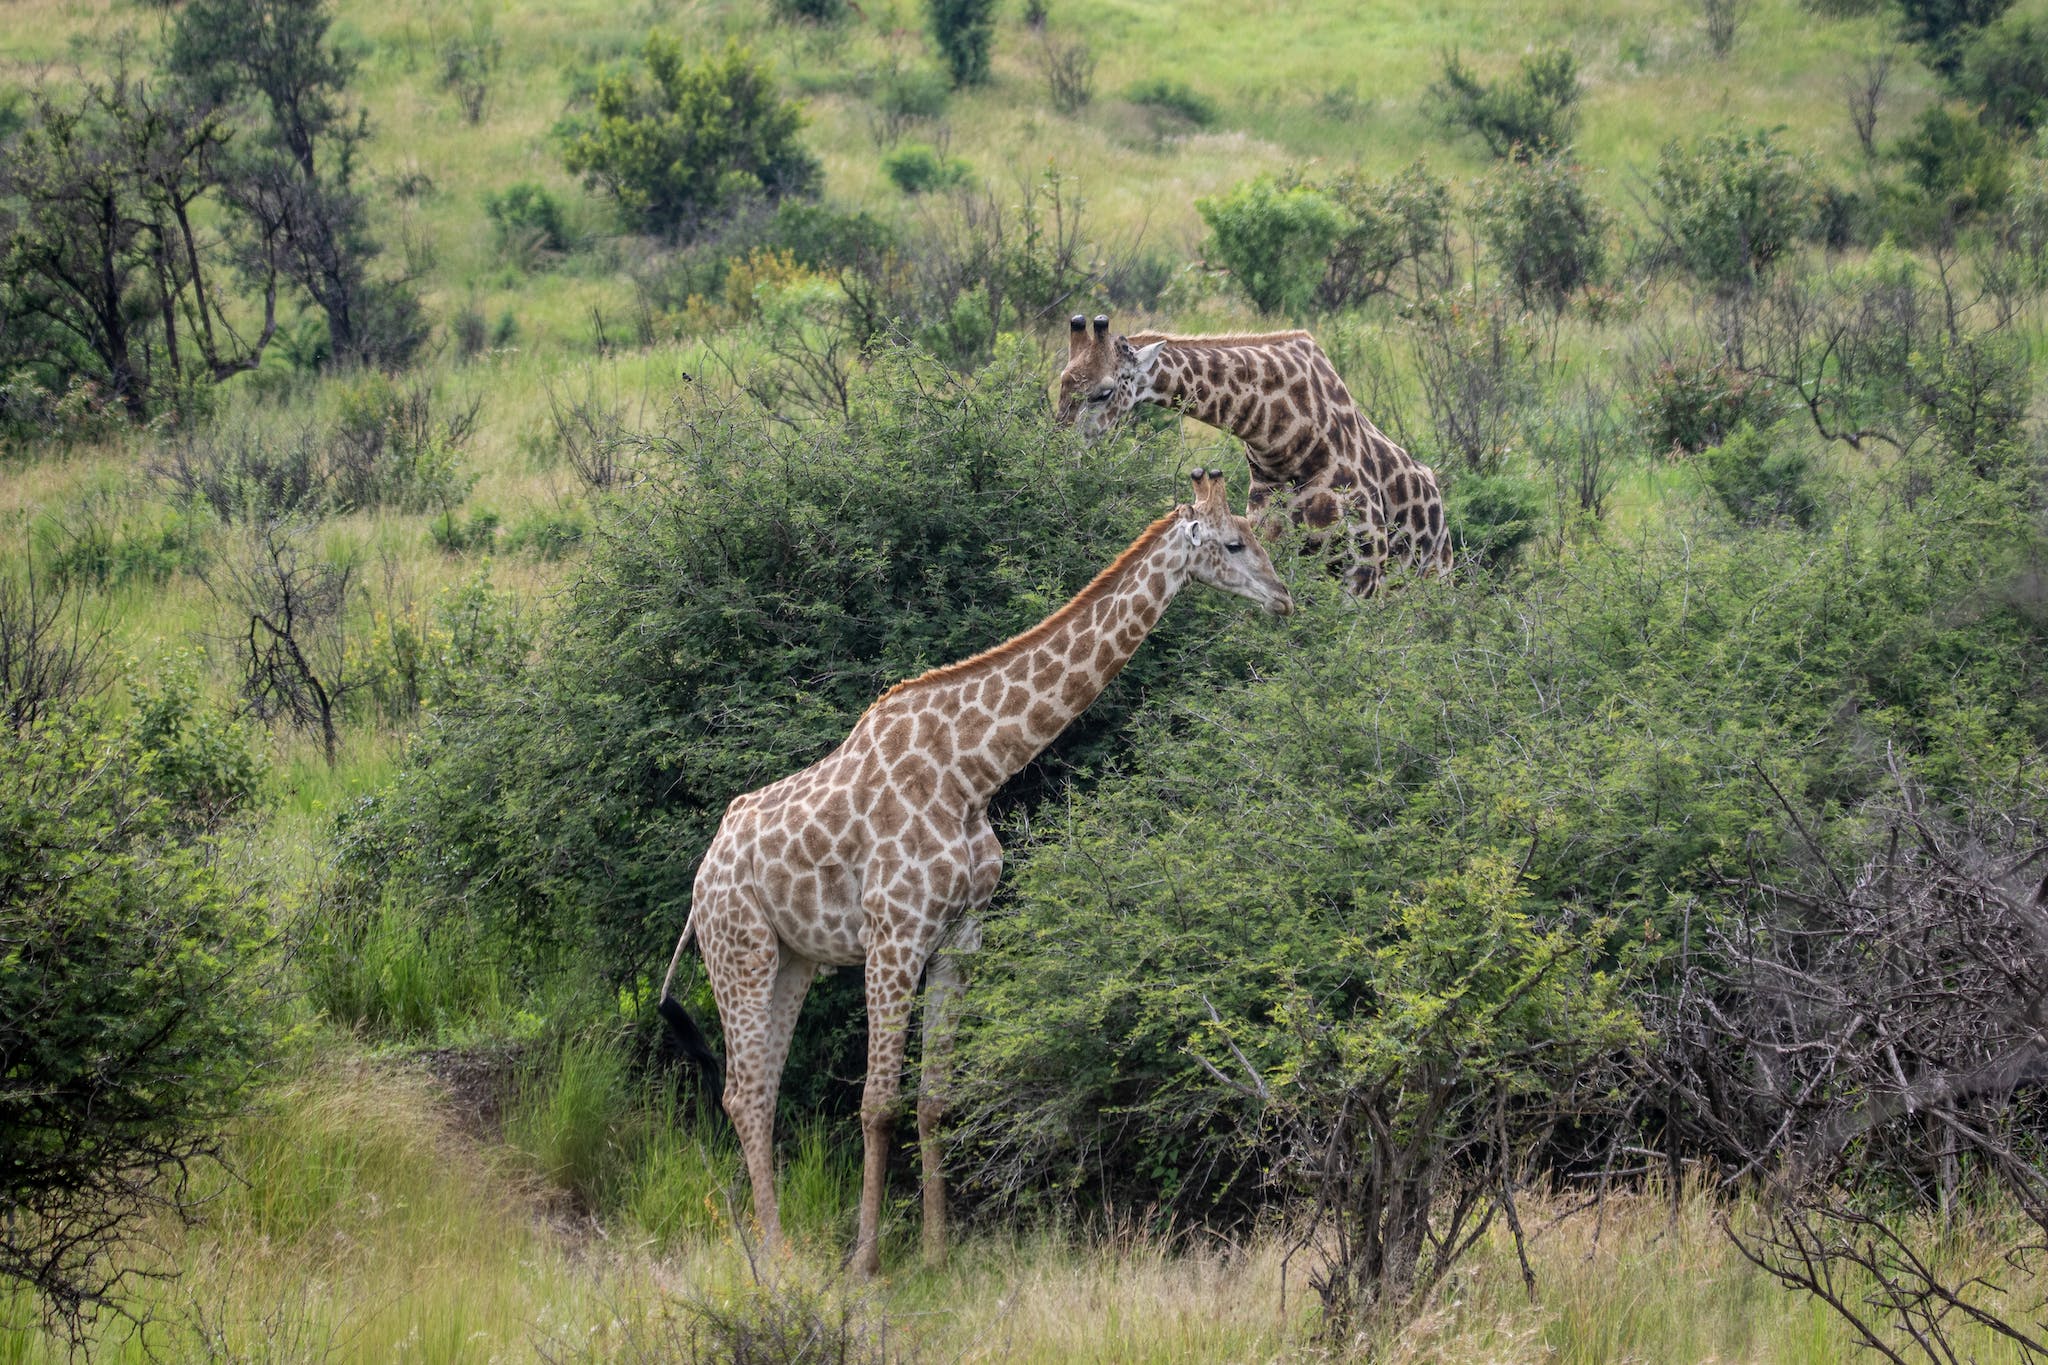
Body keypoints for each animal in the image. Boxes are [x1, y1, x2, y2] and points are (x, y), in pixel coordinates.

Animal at [657, 471, 1293, 1277]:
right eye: (1235, 542)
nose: (1284, 597)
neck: (972, 770)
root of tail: (701, 876)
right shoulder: (894, 936)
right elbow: (878, 1103)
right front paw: (866, 1263)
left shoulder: (960, 936)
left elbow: (935, 1098)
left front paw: (935, 1251)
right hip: (737, 950)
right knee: (742, 1093)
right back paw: (774, 1258)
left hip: (790, 959)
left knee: (761, 1089)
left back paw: (782, 1247)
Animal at [1054, 313, 1452, 597]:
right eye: (1061, 383)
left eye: (1103, 393)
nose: (1059, 451)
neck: (1283, 439)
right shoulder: (1268, 545)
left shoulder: (1361, 566)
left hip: (1430, 579)